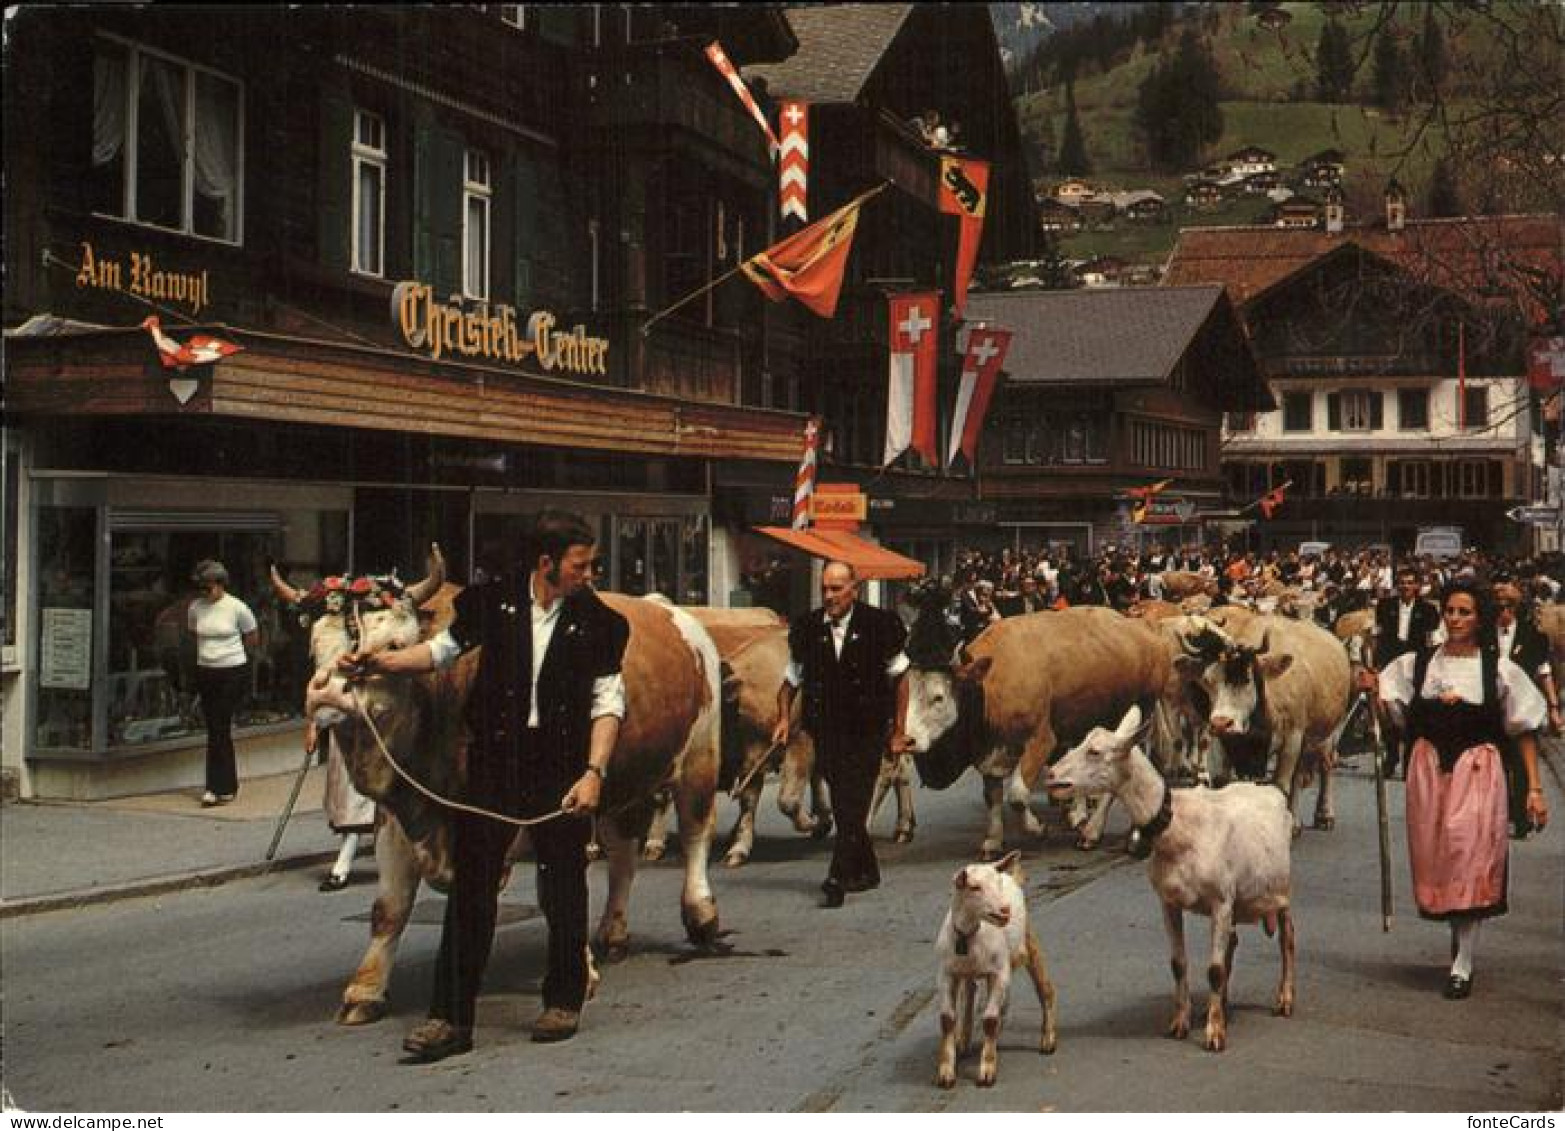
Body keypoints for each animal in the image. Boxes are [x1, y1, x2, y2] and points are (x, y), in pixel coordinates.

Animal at [907, 610, 1176, 857]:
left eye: (938, 697)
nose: (909, 741)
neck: (989, 685)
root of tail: (1148, 632)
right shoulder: (992, 752)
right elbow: (992, 795)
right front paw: (993, 840)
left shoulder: (1042, 741)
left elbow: (1017, 795)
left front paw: (1037, 828)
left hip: (1140, 716)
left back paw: (1093, 832)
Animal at [932, 857, 1057, 1088]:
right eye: (974, 887)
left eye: (996, 883)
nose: (1005, 910)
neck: (969, 936)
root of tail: (1011, 875)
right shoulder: (945, 974)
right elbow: (947, 1019)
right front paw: (945, 1072)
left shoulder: (999, 974)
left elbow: (990, 1020)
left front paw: (987, 1071)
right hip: (972, 972)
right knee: (971, 993)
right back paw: (963, 1042)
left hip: (1028, 941)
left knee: (1045, 987)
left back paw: (1048, 1040)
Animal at [1045, 707, 1289, 1051]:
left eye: (1095, 751)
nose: (1051, 776)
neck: (1177, 826)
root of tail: (1267, 788)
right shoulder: (1169, 902)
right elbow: (1178, 963)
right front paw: (1180, 1024)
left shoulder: (1221, 900)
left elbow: (1214, 970)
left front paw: (1215, 1035)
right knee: (1232, 942)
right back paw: (1223, 1004)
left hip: (1282, 891)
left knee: (1287, 940)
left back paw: (1284, 1000)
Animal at [1176, 616, 1358, 825]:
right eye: (1207, 681)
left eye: (1246, 679)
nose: (1222, 722)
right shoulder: (1222, 741)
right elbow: (1223, 781)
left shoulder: (1292, 739)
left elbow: (1280, 785)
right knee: (1299, 774)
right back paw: (1295, 820)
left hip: (1330, 730)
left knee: (1325, 763)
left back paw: (1324, 814)